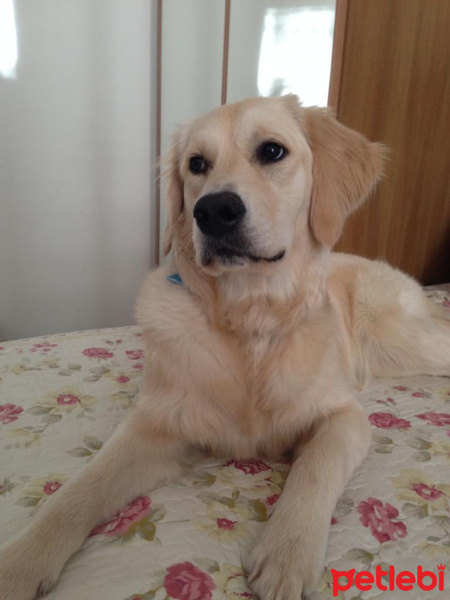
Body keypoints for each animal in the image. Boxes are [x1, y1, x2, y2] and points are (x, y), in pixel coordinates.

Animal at [0, 95, 450, 600]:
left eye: (272, 151)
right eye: (197, 164)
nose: (213, 211)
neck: (250, 318)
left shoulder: (344, 416)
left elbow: (316, 465)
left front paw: (288, 551)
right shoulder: (155, 424)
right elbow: (80, 488)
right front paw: (20, 561)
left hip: (400, 338)